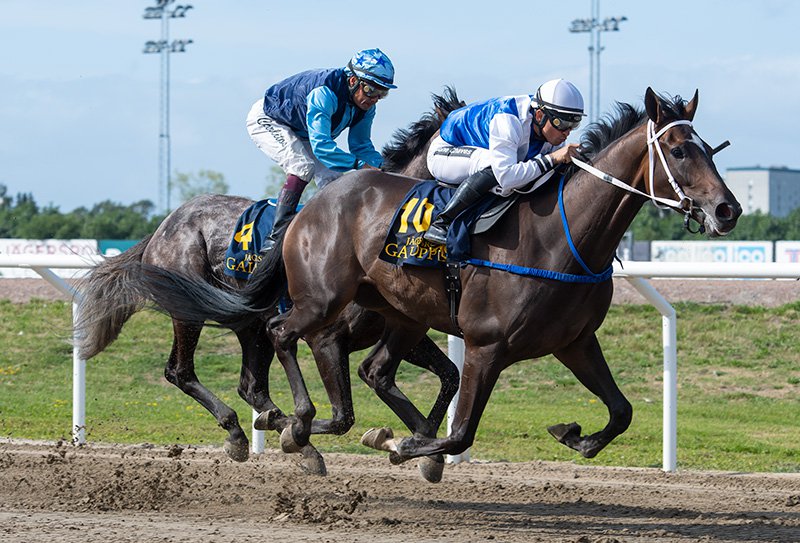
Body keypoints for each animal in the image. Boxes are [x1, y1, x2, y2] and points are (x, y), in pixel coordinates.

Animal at [76, 89, 462, 476]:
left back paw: (286, 436)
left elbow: (450, 375)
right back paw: (242, 431)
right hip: (190, 309)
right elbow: (344, 416)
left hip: (250, 325)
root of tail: (162, 228)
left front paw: (422, 451)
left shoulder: (400, 330)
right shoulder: (326, 337)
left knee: (251, 387)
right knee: (181, 372)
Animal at [139, 87, 744, 470]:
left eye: (711, 148)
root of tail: (311, 208)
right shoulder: (485, 344)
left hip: (399, 314)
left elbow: (621, 412)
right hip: (317, 304)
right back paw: (293, 424)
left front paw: (575, 436)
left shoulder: (574, 342)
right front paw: (403, 448)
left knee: (365, 368)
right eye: (678, 149)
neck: (563, 239)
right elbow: (459, 432)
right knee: (273, 340)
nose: (727, 210)